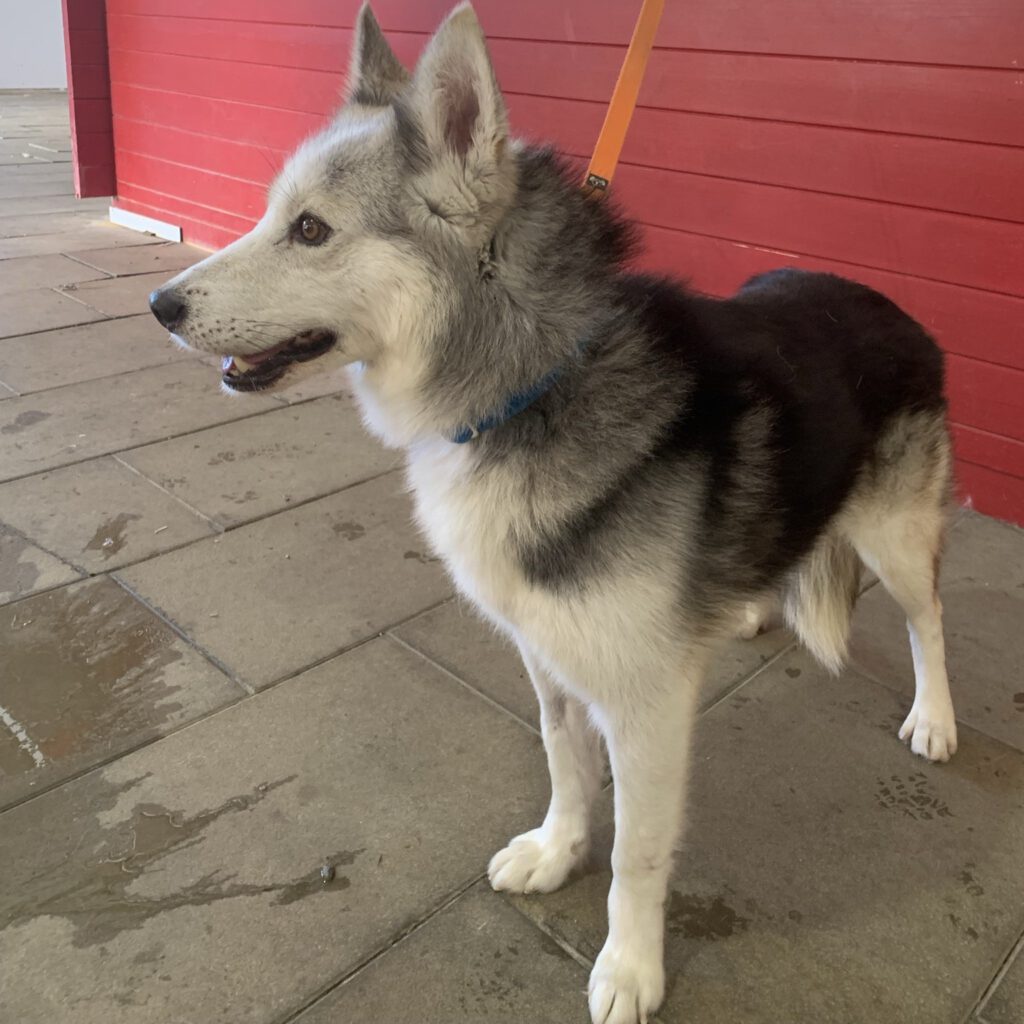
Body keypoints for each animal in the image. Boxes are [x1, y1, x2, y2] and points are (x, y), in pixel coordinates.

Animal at [149, 5, 957, 1021]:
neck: (529, 385)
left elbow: (639, 856)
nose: (159, 305)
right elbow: (565, 766)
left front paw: (629, 966)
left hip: (896, 536)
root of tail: (890, 305)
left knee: (930, 618)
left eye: (309, 229)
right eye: (272, 215)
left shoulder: (648, 707)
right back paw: (748, 606)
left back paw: (936, 718)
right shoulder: (549, 656)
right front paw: (558, 851)